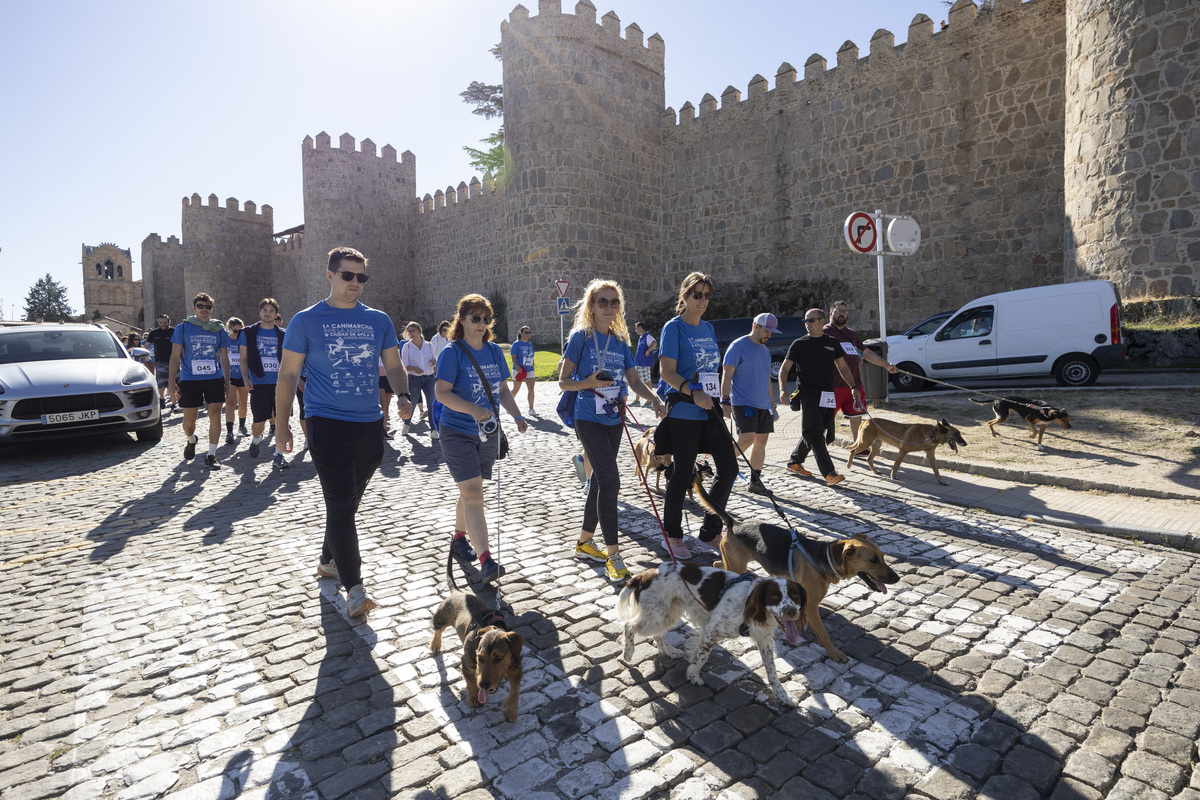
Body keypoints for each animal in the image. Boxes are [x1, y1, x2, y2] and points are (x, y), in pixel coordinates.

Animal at [432, 587, 525, 724]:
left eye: (499, 658)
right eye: (479, 657)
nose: (484, 685)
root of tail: (457, 591)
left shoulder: (516, 668)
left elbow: (515, 691)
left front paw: (511, 711)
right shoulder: (466, 661)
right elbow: (471, 680)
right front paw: (474, 698)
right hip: (441, 616)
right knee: (438, 630)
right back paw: (435, 644)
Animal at [619, 563, 806, 705]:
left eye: (795, 596)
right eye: (774, 596)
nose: (791, 612)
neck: (749, 605)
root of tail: (645, 574)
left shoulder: (764, 640)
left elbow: (772, 671)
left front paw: (783, 696)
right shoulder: (712, 631)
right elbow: (702, 656)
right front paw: (693, 675)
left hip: (667, 613)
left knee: (657, 634)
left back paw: (670, 652)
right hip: (658, 614)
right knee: (629, 625)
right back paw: (628, 653)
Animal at [696, 489, 902, 662]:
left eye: (883, 557)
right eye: (873, 560)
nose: (897, 578)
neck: (823, 559)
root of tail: (735, 523)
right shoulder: (811, 606)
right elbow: (824, 632)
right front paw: (833, 652)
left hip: (733, 562)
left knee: (718, 563)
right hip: (737, 565)